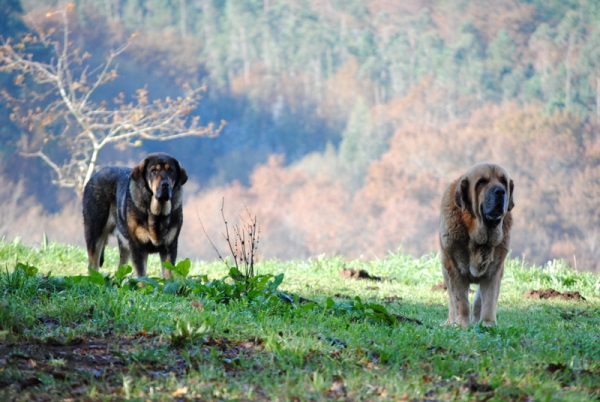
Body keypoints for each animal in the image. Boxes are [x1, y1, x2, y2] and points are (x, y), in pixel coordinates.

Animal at [438, 162, 512, 328]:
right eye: (482, 182)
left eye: (503, 181)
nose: (500, 191)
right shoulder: (454, 269)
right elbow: (461, 301)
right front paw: (462, 325)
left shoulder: (494, 271)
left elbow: (489, 301)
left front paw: (488, 325)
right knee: (453, 301)